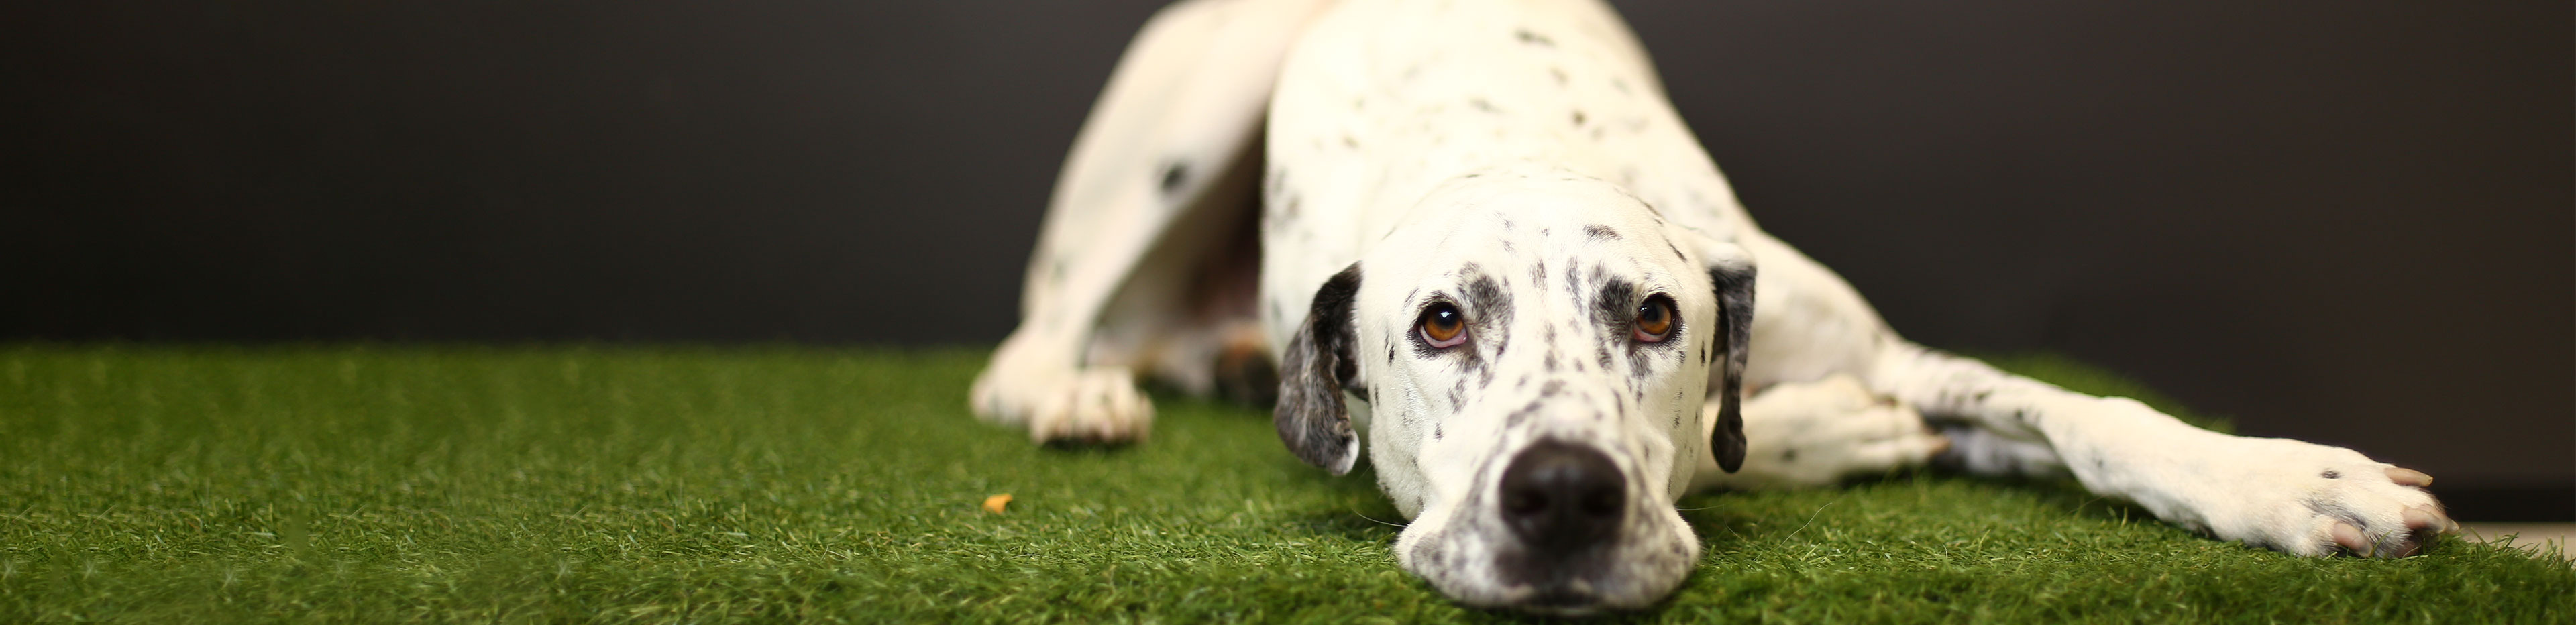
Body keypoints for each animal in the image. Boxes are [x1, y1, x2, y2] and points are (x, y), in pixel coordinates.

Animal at [970, 0, 2454, 613]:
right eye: (1441, 323)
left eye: (1654, 317)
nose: (1565, 496)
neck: (1499, 131)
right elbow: (1761, 441)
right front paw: (1834, 436)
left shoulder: (1876, 340)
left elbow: (2080, 413)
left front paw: (2284, 479)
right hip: (1198, 100)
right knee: (1032, 346)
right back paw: (1079, 394)